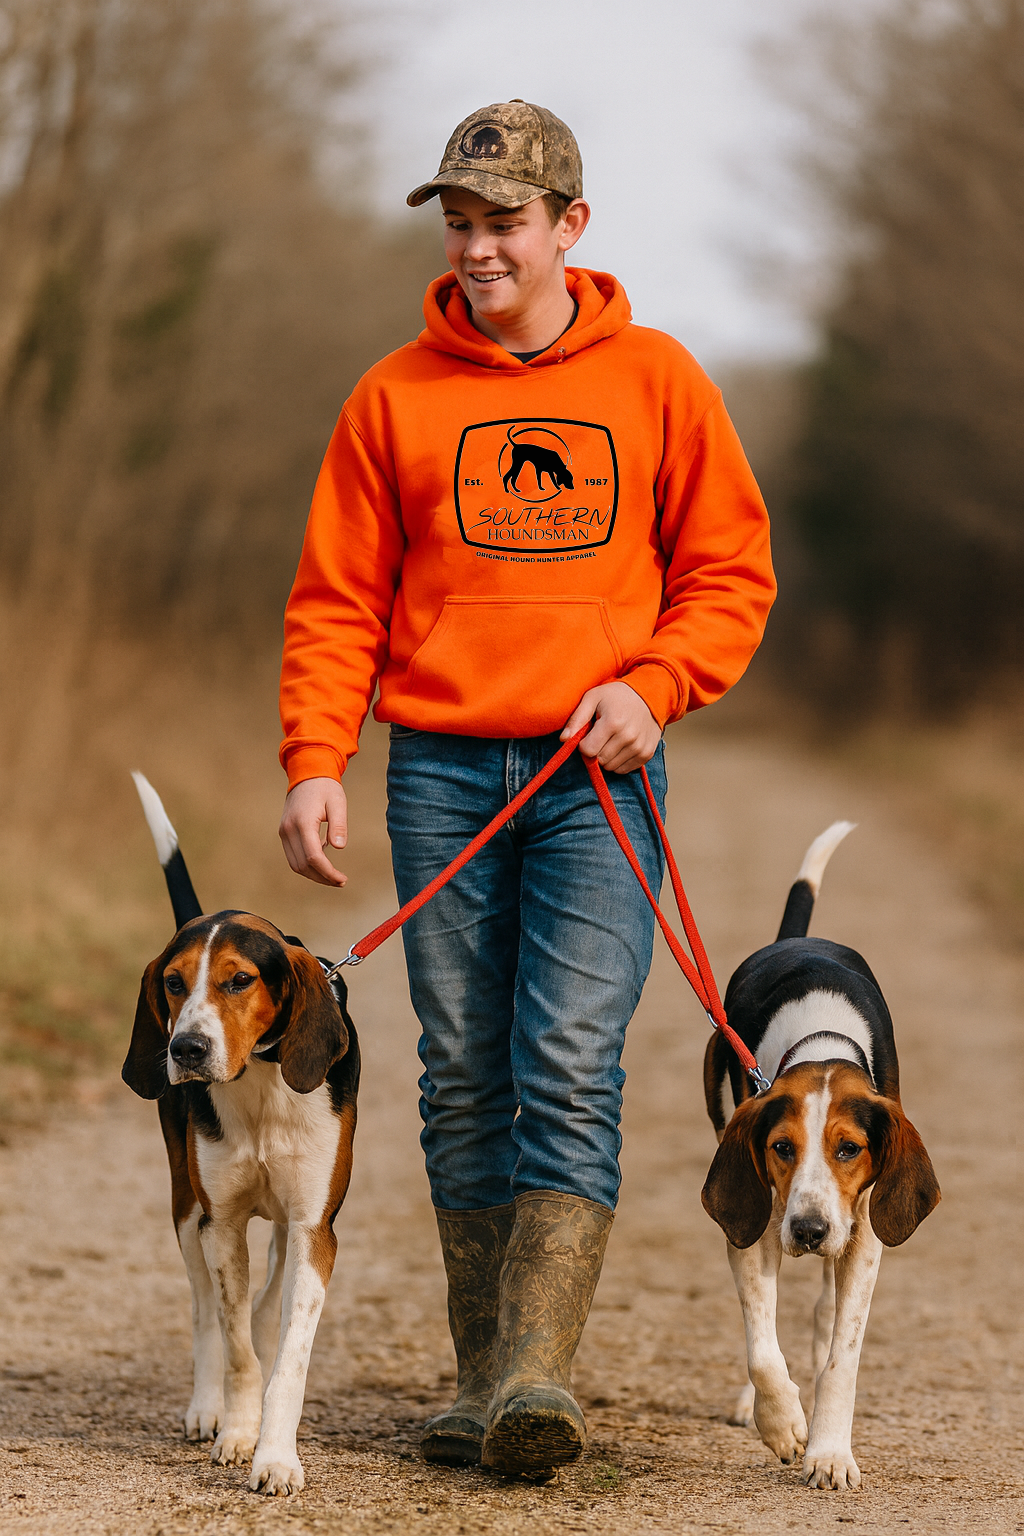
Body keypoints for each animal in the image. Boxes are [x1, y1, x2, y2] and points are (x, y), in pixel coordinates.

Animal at [122, 773, 359, 1496]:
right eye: (173, 983)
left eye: (239, 980)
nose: (186, 1050)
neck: (257, 1085)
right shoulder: (220, 1222)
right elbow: (234, 1347)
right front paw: (237, 1432)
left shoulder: (314, 1226)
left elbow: (287, 1357)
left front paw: (276, 1455)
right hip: (186, 1207)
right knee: (206, 1311)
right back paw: (209, 1407)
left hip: (286, 1225)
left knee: (265, 1299)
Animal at [701, 822, 939, 1491]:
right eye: (782, 1148)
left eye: (849, 1148)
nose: (808, 1230)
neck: (822, 1042)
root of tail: (797, 938)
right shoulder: (755, 1221)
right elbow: (762, 1346)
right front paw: (783, 1424)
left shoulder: (864, 1234)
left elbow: (842, 1358)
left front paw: (829, 1452)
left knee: (825, 1312)